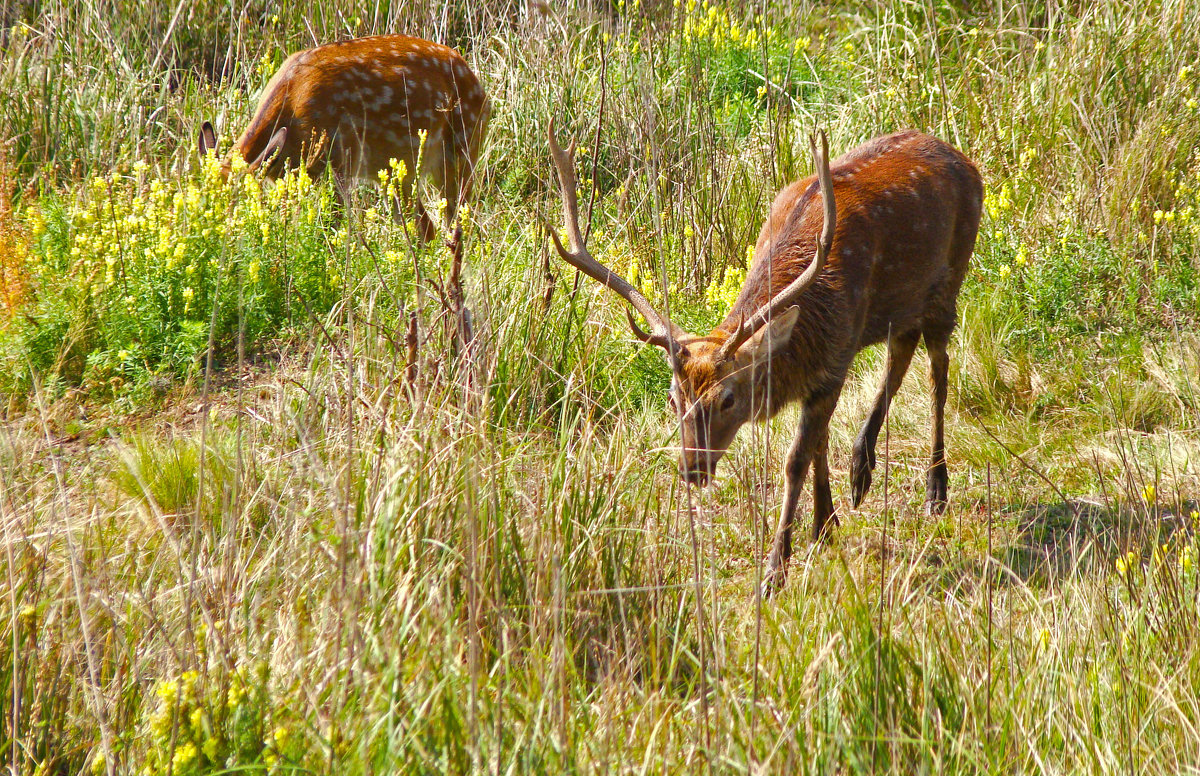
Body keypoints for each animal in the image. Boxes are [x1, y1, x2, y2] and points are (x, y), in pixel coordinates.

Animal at [199, 34, 489, 239]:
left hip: (461, 152)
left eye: (238, 206)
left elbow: (332, 226)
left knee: (459, 225)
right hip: (393, 174)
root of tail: (480, 88)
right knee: (425, 229)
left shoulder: (340, 163)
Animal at [549, 124, 979, 592]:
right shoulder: (822, 367)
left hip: (950, 278)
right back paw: (861, 471)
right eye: (672, 397)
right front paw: (825, 525)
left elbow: (796, 460)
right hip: (904, 308)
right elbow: (819, 442)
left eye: (728, 399)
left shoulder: (837, 358)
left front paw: (776, 566)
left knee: (939, 372)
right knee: (900, 357)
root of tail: (963, 158)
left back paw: (935, 489)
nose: (692, 469)